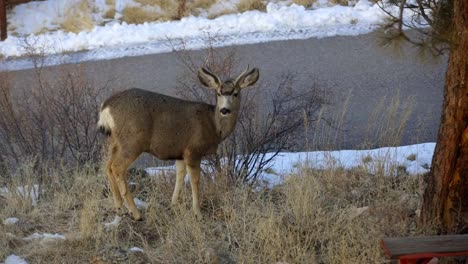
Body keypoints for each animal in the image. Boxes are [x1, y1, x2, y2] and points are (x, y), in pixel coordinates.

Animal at [98, 66, 260, 221]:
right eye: (219, 93)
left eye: (236, 93)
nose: (225, 110)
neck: (214, 126)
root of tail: (106, 106)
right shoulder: (193, 150)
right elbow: (195, 180)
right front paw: (198, 213)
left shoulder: (179, 152)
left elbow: (180, 176)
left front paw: (174, 203)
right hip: (132, 141)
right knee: (117, 167)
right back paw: (136, 214)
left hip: (114, 141)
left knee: (108, 166)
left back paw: (119, 208)